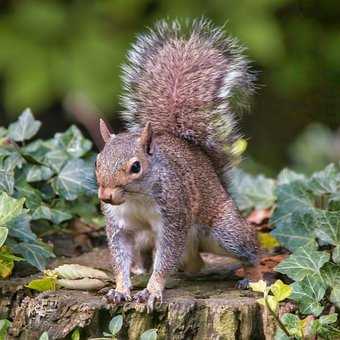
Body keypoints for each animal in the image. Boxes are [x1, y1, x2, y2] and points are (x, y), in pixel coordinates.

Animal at [95, 18, 260, 310]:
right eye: (97, 161)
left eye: (136, 167)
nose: (106, 196)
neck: (136, 198)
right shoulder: (120, 225)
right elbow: (119, 256)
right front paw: (121, 289)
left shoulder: (174, 216)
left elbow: (166, 257)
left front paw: (151, 291)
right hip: (147, 241)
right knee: (189, 264)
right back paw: (149, 270)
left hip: (225, 232)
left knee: (250, 250)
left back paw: (251, 276)